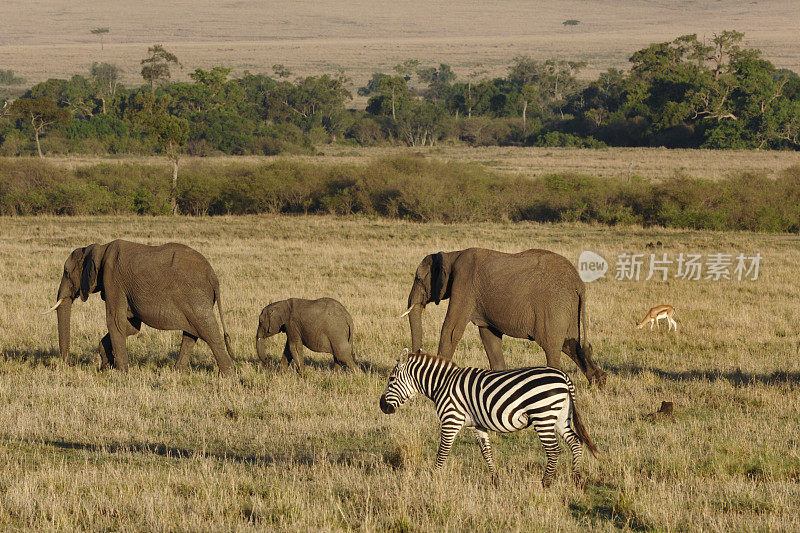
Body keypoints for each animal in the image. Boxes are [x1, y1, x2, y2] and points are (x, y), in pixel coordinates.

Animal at [42, 240, 234, 374]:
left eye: (67, 272)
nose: (71, 363)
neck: (100, 248)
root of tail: (213, 276)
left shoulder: (113, 279)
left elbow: (115, 322)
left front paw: (120, 373)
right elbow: (131, 326)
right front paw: (106, 366)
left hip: (194, 296)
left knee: (208, 331)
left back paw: (227, 375)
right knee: (191, 333)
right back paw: (177, 372)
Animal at [378, 350, 596, 486]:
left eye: (391, 379)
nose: (382, 406)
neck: (442, 384)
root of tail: (563, 376)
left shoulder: (451, 420)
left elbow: (442, 451)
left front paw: (433, 477)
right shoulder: (477, 425)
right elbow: (486, 452)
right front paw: (495, 480)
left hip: (543, 416)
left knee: (553, 450)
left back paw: (546, 483)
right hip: (560, 416)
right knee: (575, 442)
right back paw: (577, 479)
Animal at [406, 247, 608, 384]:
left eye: (418, 279)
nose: (417, 353)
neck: (451, 255)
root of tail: (578, 283)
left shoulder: (464, 283)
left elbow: (451, 330)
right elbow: (489, 336)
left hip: (554, 306)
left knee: (553, 347)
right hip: (569, 307)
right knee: (572, 345)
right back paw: (599, 382)